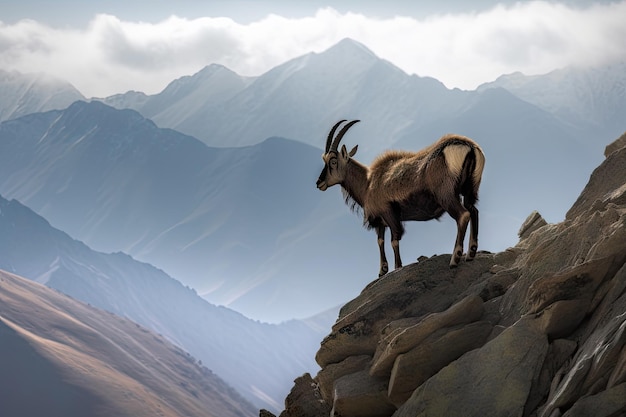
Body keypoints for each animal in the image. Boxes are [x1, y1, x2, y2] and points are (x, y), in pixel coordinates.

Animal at [314, 118, 486, 274]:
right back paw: (470, 254)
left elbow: (394, 240)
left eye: (333, 161)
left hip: (446, 196)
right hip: (470, 191)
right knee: (473, 211)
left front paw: (397, 267)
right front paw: (382, 270)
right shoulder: (381, 221)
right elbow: (380, 240)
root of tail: (468, 147)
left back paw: (455, 258)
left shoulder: (389, 214)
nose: (319, 183)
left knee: (463, 215)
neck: (368, 183)